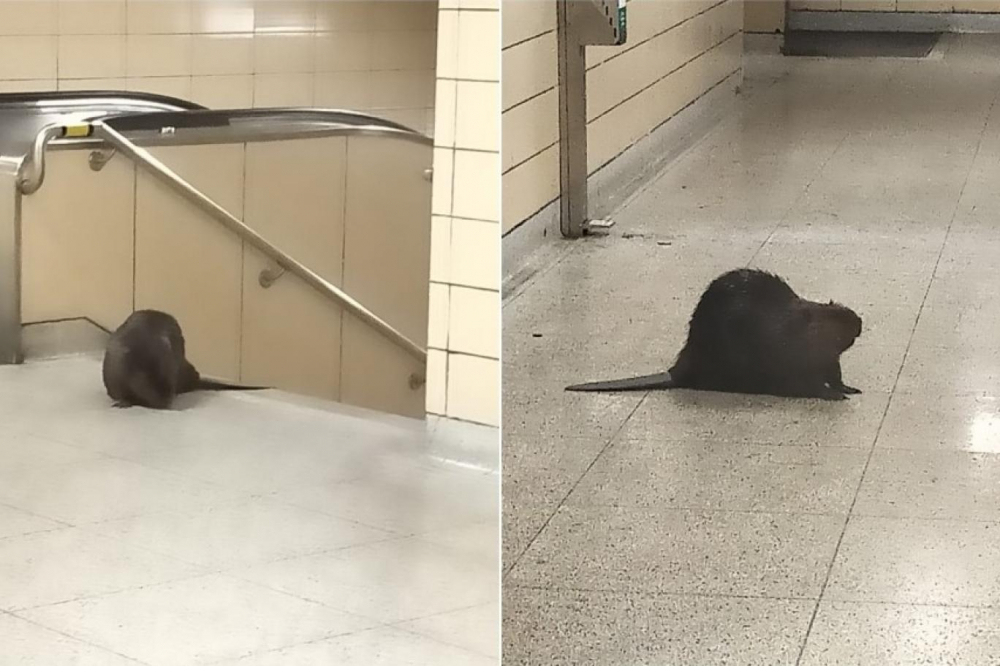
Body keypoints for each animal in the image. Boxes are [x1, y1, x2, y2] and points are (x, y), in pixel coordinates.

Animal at [568, 268, 864, 400]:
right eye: (834, 317)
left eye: (839, 307)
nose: (859, 321)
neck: (791, 326)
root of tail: (677, 372)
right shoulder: (788, 356)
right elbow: (807, 382)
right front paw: (835, 395)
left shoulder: (827, 359)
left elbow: (833, 374)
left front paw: (850, 388)